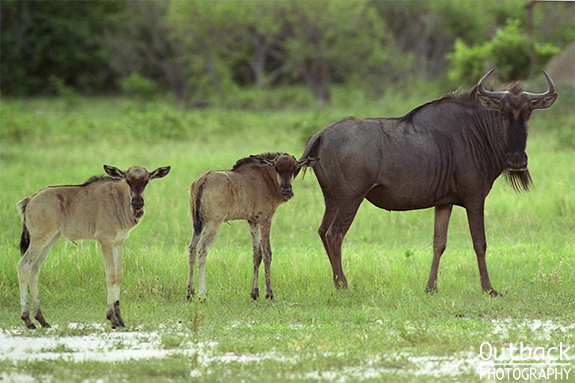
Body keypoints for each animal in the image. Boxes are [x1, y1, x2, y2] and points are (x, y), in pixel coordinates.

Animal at [16, 165, 170, 330]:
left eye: (146, 181)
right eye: (128, 181)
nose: (137, 203)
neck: (119, 199)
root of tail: (30, 200)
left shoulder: (118, 242)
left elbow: (119, 274)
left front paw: (120, 318)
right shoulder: (105, 240)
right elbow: (110, 275)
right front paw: (112, 318)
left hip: (50, 240)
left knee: (34, 269)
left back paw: (42, 320)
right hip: (39, 240)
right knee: (23, 266)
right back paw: (27, 320)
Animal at [187, 152, 320, 300]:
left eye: (294, 167)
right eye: (276, 168)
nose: (286, 189)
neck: (266, 178)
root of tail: (201, 181)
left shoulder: (252, 221)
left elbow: (257, 254)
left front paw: (254, 292)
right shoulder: (265, 220)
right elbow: (267, 253)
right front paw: (269, 293)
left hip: (197, 224)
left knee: (192, 248)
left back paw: (190, 293)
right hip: (213, 224)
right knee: (201, 249)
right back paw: (202, 295)